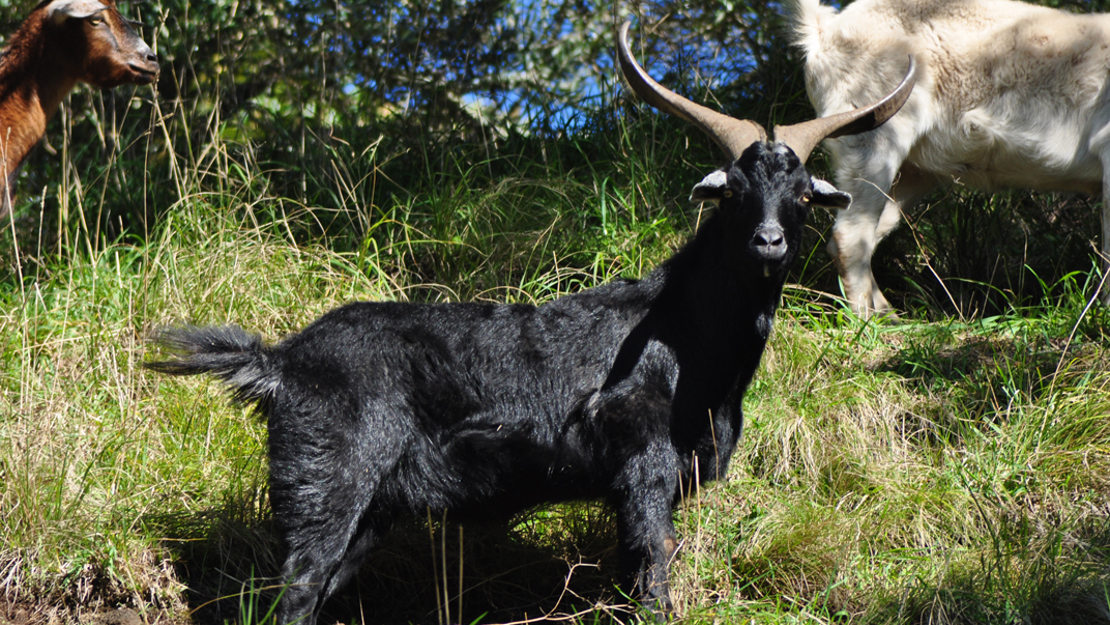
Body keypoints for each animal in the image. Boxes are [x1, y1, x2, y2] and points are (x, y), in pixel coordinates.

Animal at [145, 24, 910, 625]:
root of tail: (281, 362)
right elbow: (652, 578)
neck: (686, 338)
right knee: (292, 595)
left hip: (368, 510)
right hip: (326, 483)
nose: (769, 243)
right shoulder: (643, 466)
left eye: (802, 195)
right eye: (735, 192)